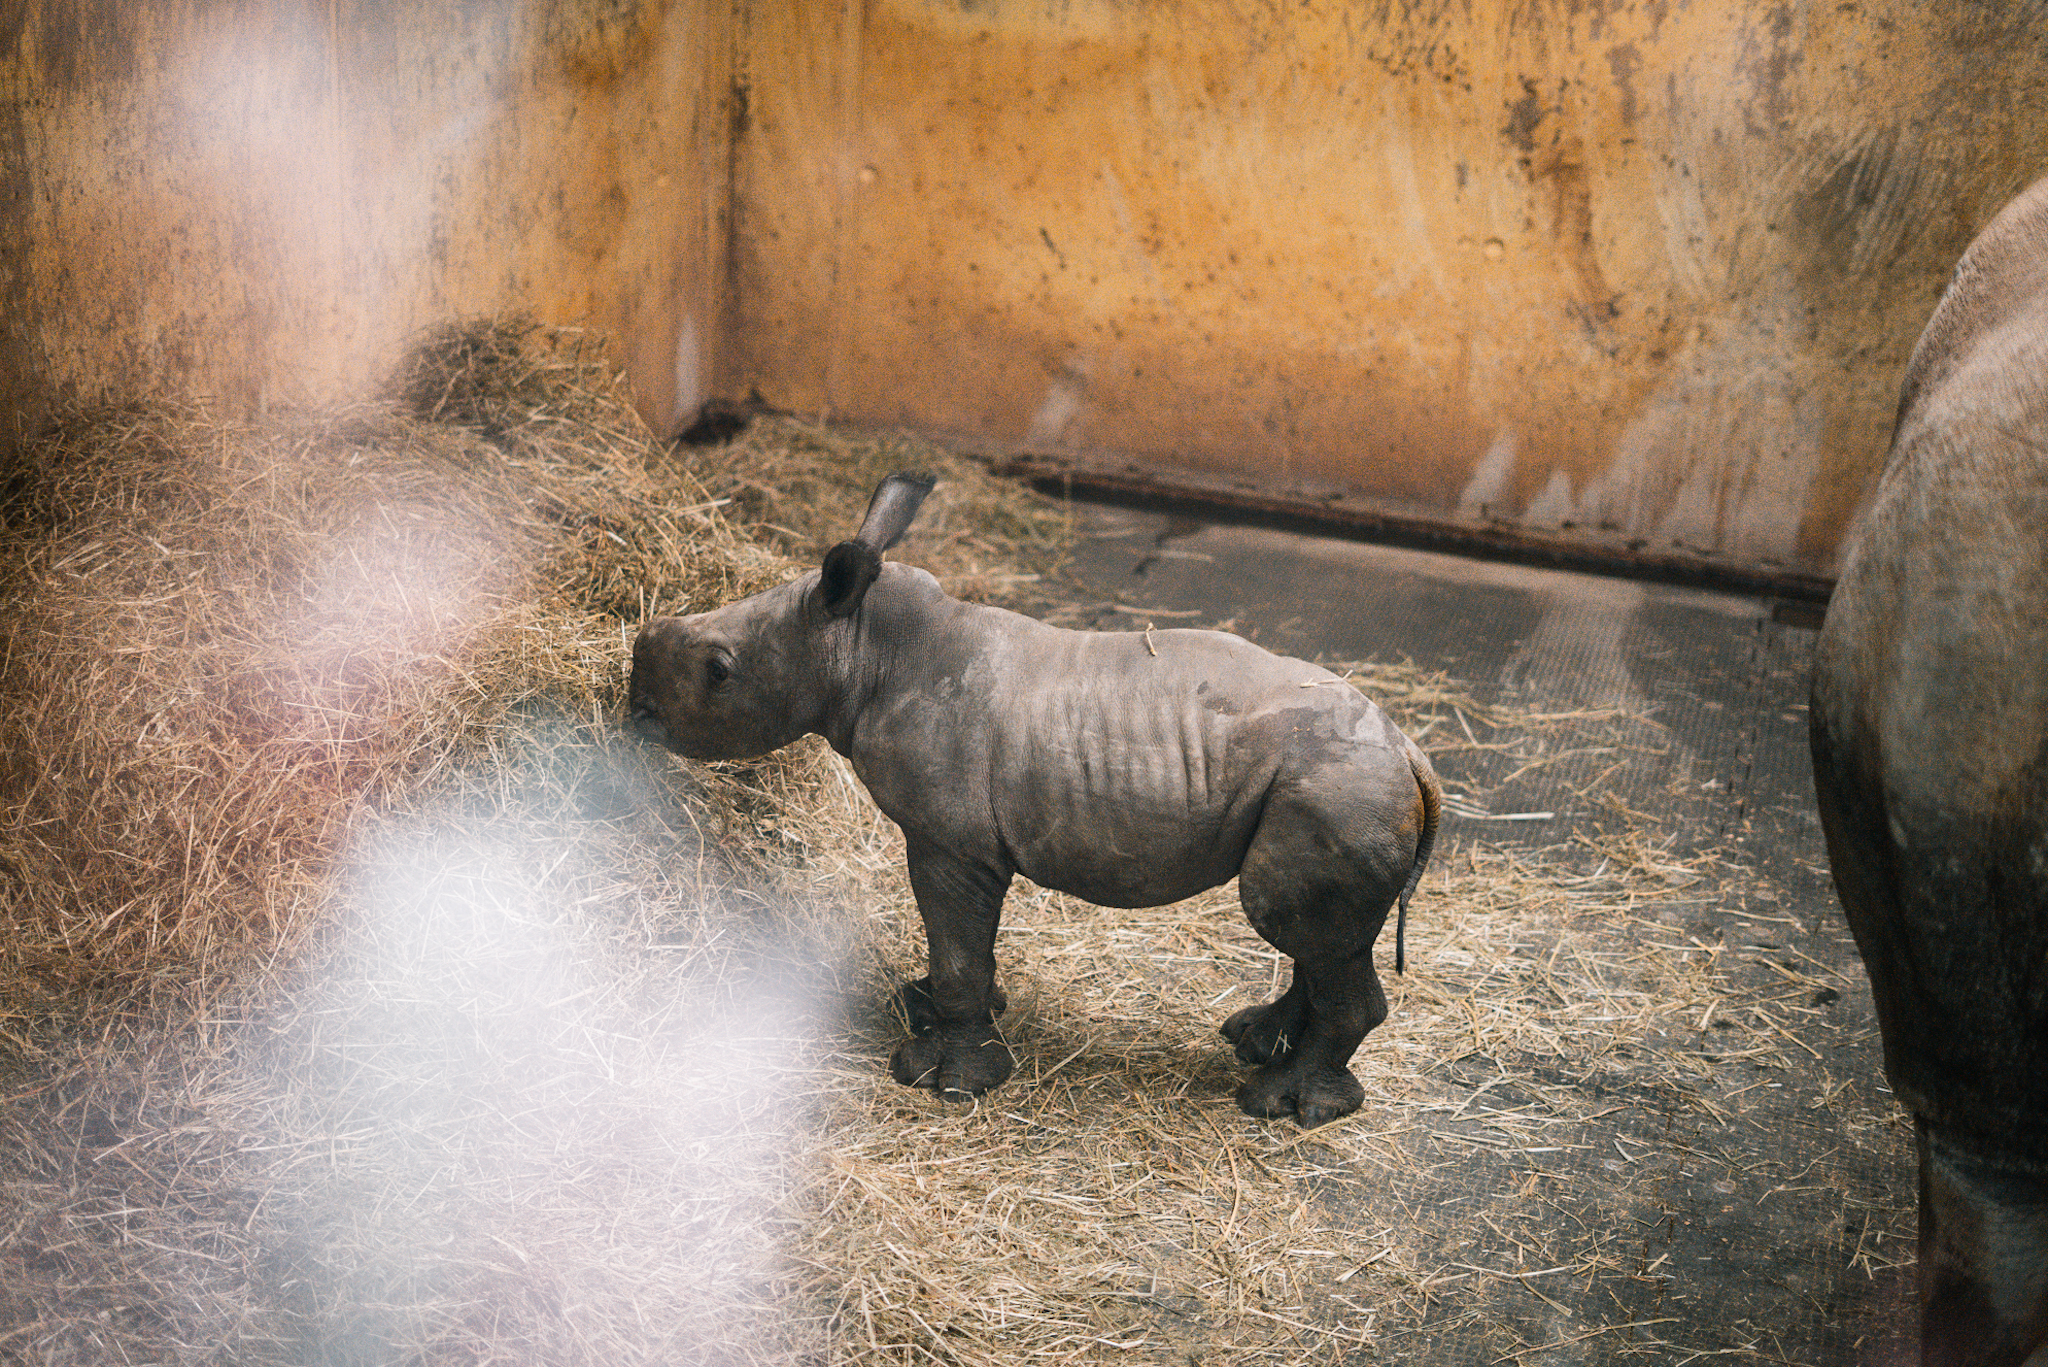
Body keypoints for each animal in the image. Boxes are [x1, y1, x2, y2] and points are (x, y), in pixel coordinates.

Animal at [629, 474, 1440, 1125]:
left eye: (719, 670)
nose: (635, 710)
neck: (859, 647)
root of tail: (1411, 753)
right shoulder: (962, 843)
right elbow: (962, 948)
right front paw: (925, 1007)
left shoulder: (952, 842)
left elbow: (958, 948)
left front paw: (942, 1077)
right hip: (1343, 793)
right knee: (1321, 936)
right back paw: (1257, 1047)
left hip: (1341, 793)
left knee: (1289, 917)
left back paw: (1284, 1106)